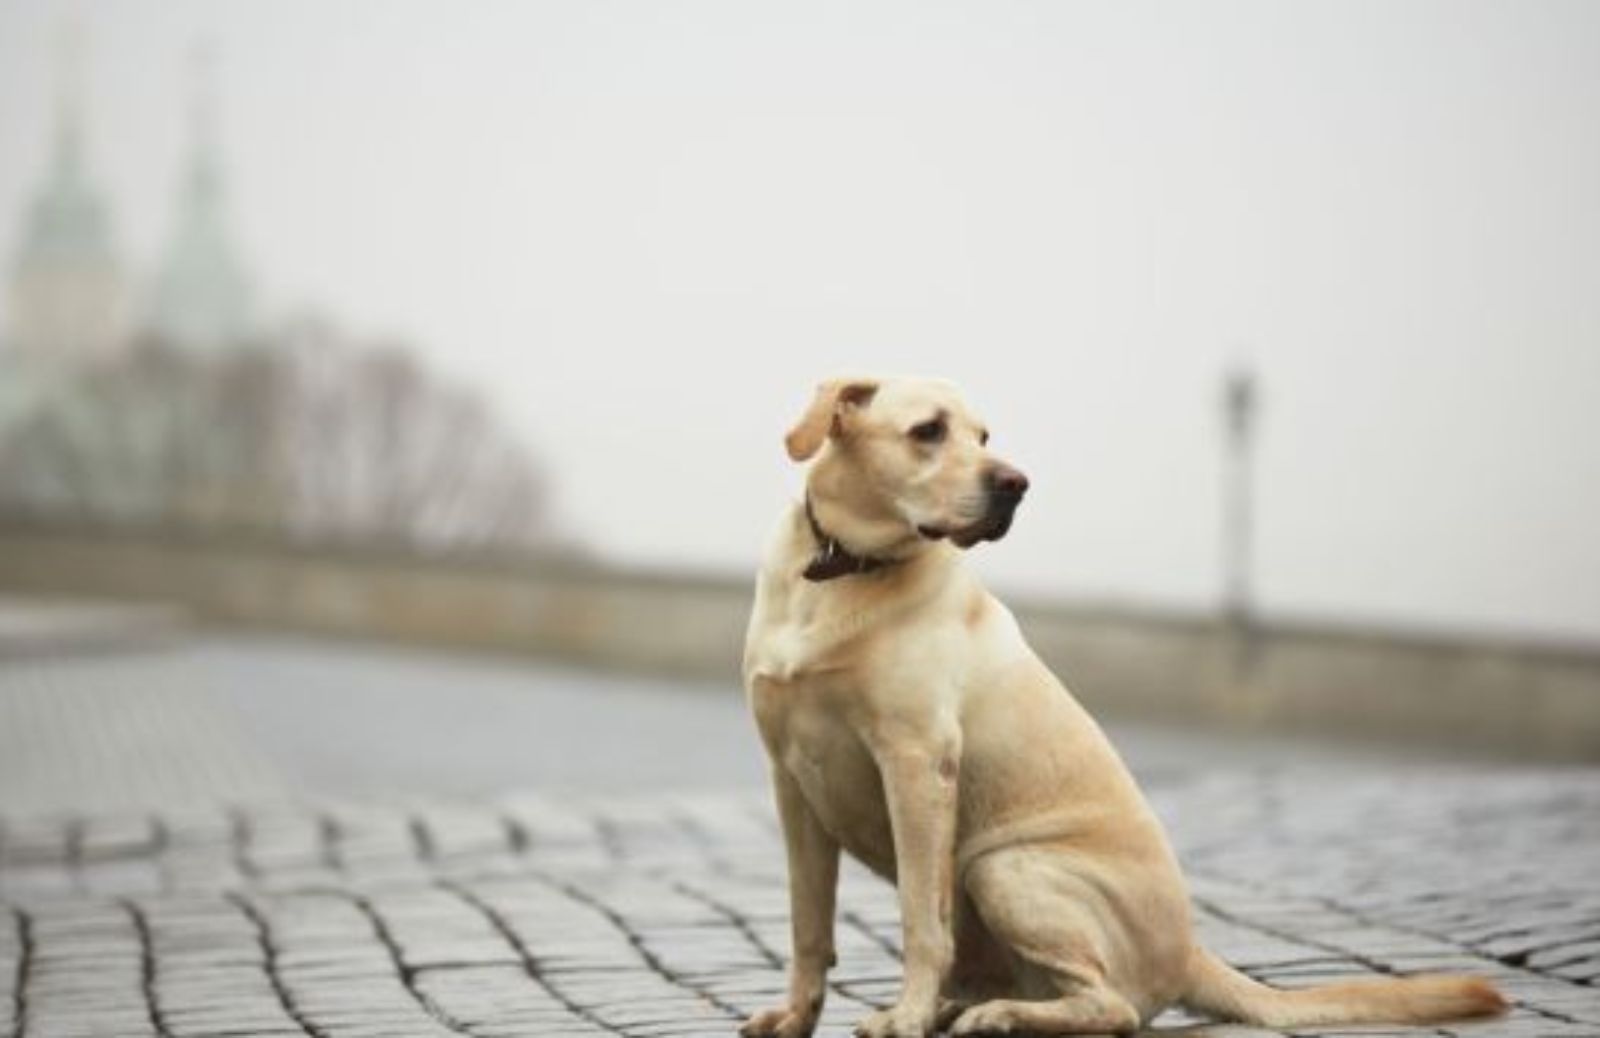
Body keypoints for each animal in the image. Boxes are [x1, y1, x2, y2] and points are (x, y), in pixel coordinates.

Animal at [742, 375, 1504, 1030]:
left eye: (984, 436)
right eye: (929, 430)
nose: (1016, 485)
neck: (839, 570)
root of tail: (1190, 949)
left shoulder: (917, 763)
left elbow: (921, 922)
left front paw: (903, 1017)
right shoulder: (791, 781)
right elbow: (808, 925)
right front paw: (797, 1017)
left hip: (1002, 866)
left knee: (1111, 1006)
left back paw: (997, 1016)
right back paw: (965, 1009)